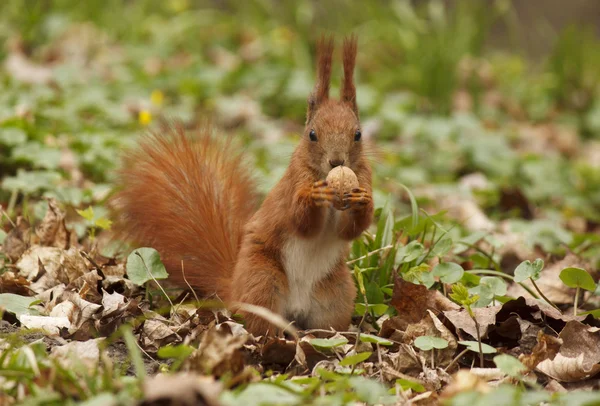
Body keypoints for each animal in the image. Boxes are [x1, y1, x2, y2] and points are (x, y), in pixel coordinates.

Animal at [112, 36, 372, 336]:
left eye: (358, 134)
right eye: (312, 134)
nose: (336, 161)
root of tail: (233, 288)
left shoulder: (364, 175)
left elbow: (350, 230)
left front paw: (362, 200)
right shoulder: (293, 182)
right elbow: (302, 222)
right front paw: (313, 196)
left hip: (336, 294)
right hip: (262, 281)